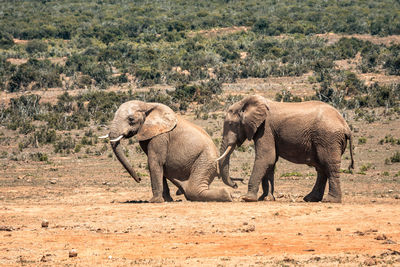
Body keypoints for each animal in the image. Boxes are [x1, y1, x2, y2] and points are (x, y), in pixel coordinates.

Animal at [100, 100, 231, 203]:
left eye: (131, 119)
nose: (139, 179)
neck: (147, 105)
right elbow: (159, 166)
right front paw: (167, 200)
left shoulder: (160, 136)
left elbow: (155, 162)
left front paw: (154, 201)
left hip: (205, 160)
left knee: (193, 189)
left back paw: (228, 195)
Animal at [219, 96, 354, 203]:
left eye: (231, 124)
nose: (236, 185)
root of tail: (346, 126)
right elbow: (271, 162)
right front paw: (266, 198)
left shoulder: (265, 128)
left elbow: (266, 158)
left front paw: (247, 198)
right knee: (321, 168)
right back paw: (310, 199)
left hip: (329, 138)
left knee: (329, 165)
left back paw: (330, 200)